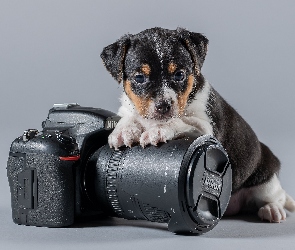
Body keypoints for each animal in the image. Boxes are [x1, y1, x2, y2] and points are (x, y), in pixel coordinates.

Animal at [102, 27, 295, 223]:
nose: (163, 105)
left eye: (179, 75)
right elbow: (129, 117)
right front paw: (123, 132)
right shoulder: (127, 109)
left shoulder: (204, 127)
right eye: (140, 77)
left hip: (265, 183)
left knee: (277, 197)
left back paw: (272, 209)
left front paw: (158, 130)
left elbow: (178, 121)